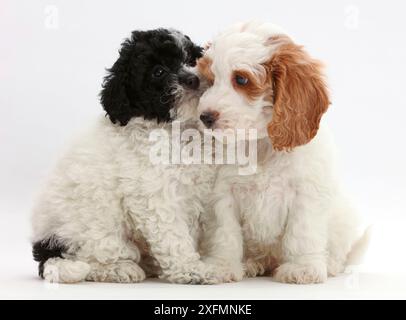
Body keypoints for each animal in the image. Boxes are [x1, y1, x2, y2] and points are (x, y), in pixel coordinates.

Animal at [32, 28, 219, 284]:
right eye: (158, 71)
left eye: (192, 60)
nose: (192, 79)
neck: (173, 130)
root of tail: (46, 245)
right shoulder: (156, 196)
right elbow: (174, 237)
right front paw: (192, 270)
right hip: (99, 232)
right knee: (90, 261)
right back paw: (122, 269)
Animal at [198, 21, 370, 284]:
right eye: (209, 80)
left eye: (241, 79)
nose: (205, 117)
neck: (261, 144)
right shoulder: (222, 194)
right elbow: (225, 234)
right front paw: (222, 265)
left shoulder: (306, 195)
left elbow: (302, 233)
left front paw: (303, 268)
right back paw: (252, 263)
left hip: (345, 217)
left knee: (339, 252)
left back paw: (329, 264)